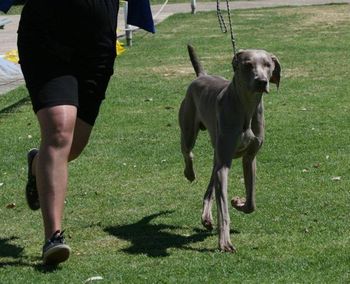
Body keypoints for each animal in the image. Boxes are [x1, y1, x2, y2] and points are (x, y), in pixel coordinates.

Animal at [179, 45, 280, 252]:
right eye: (248, 65)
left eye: (268, 64)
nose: (261, 82)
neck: (246, 108)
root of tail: (201, 75)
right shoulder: (224, 164)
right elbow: (223, 209)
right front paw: (225, 242)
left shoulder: (249, 158)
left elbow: (251, 203)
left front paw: (238, 202)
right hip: (189, 127)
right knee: (187, 150)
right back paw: (190, 173)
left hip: (217, 155)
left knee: (210, 186)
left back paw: (207, 217)